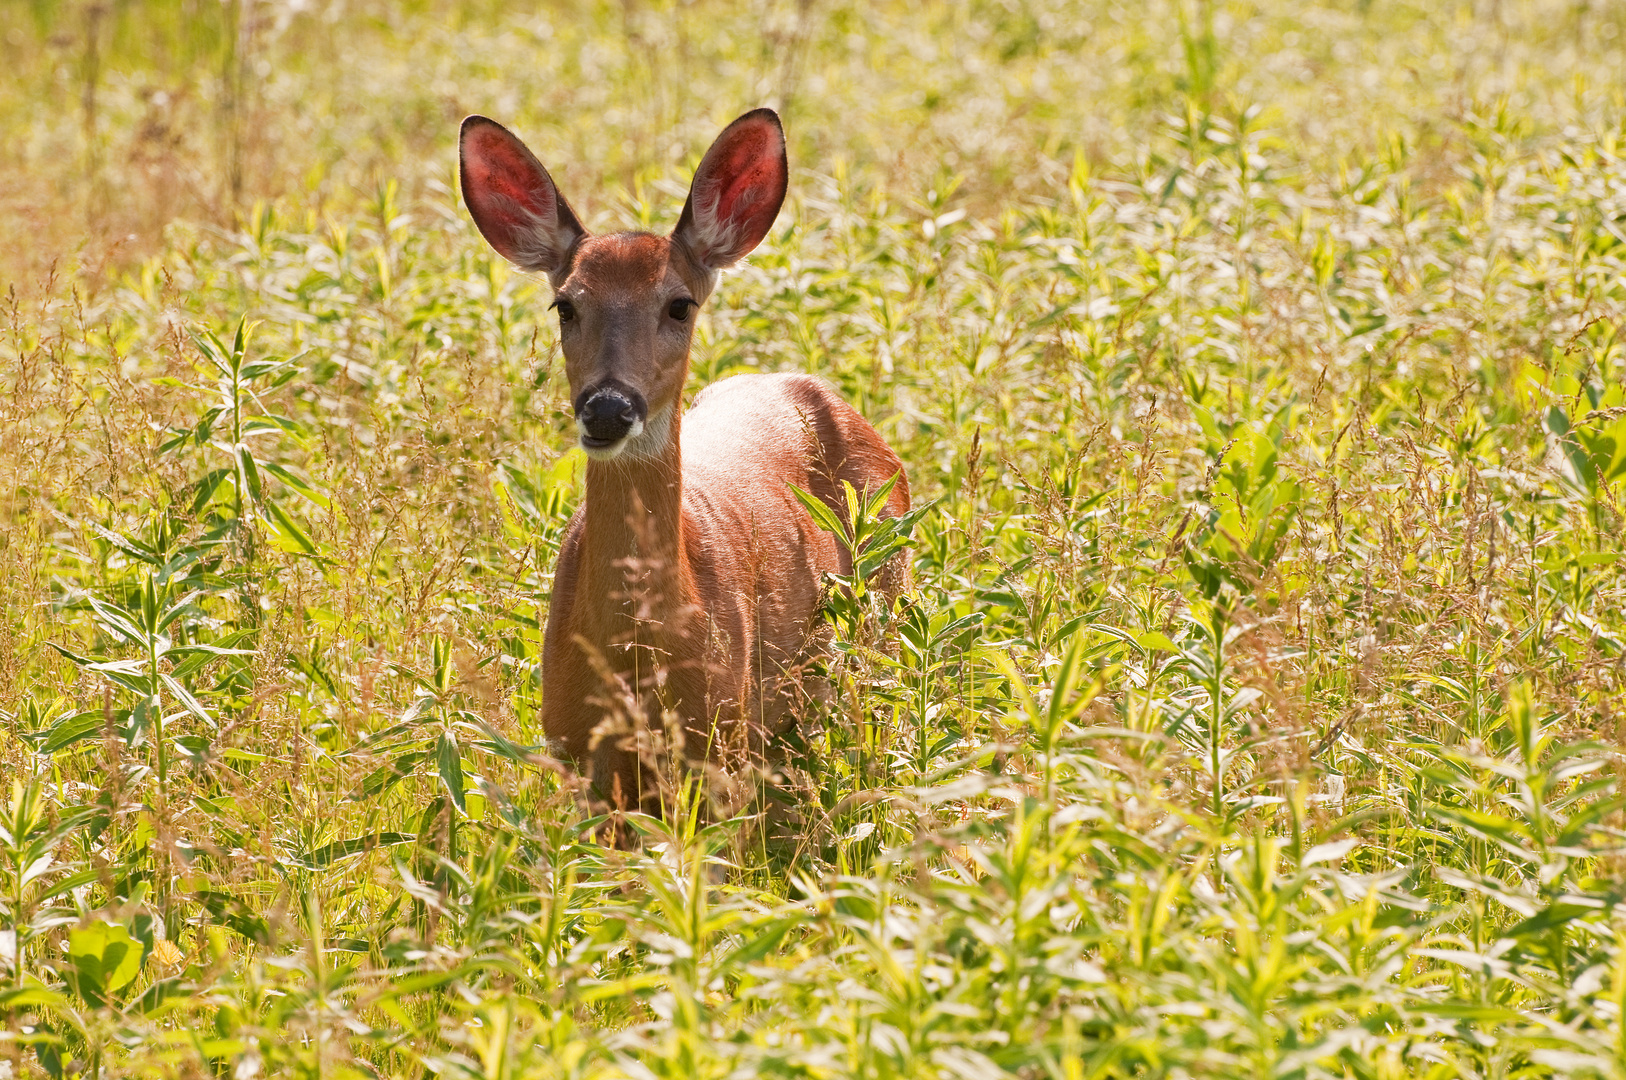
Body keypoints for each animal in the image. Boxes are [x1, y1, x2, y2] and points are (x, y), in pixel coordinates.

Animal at [461, 107, 917, 819]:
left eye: (679, 303)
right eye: (566, 304)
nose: (608, 408)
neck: (637, 654)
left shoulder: (722, 742)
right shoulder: (576, 754)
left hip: (876, 624)